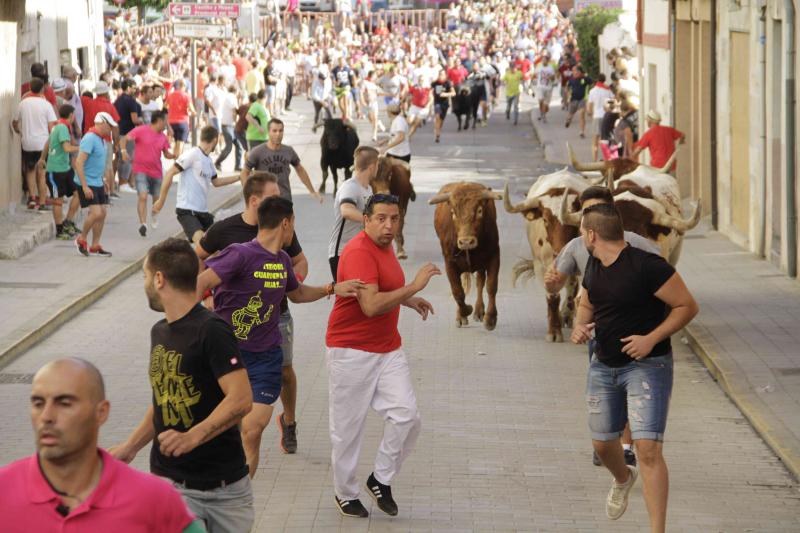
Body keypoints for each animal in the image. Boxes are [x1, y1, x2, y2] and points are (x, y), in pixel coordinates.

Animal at [432, 182, 500, 328]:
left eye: (480, 211)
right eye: (453, 212)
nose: (466, 242)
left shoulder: (494, 256)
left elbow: (491, 286)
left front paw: (491, 318)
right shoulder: (450, 263)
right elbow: (457, 291)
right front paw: (465, 311)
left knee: (480, 281)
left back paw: (479, 311)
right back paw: (462, 316)